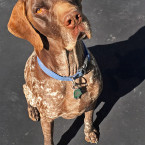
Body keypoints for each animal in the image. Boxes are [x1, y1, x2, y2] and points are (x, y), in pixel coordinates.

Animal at [7, 0, 102, 144]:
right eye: (39, 10)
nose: (74, 18)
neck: (71, 74)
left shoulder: (91, 102)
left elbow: (88, 120)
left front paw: (89, 132)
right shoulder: (47, 117)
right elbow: (48, 137)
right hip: (27, 90)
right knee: (28, 97)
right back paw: (32, 110)